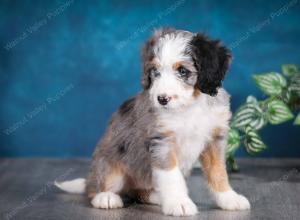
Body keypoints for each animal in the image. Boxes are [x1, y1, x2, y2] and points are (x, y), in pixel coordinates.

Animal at [55, 27, 251, 217]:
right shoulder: (162, 140)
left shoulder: (214, 139)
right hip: (110, 164)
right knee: (96, 188)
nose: (161, 99)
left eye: (183, 71)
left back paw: (155, 195)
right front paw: (178, 203)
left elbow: (218, 171)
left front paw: (229, 198)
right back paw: (106, 197)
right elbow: (171, 175)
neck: (190, 106)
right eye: (155, 72)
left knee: (136, 191)